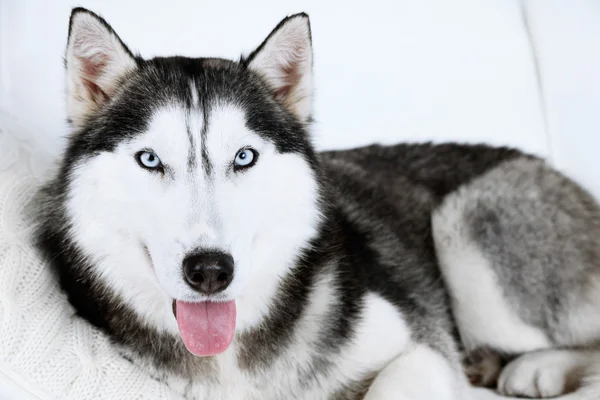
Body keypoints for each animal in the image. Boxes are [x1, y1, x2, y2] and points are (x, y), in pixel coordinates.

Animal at [35, 7, 600, 400]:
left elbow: (394, 382)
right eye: (150, 159)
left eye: (244, 156)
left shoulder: (424, 345)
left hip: (470, 233)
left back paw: (539, 367)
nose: (210, 270)